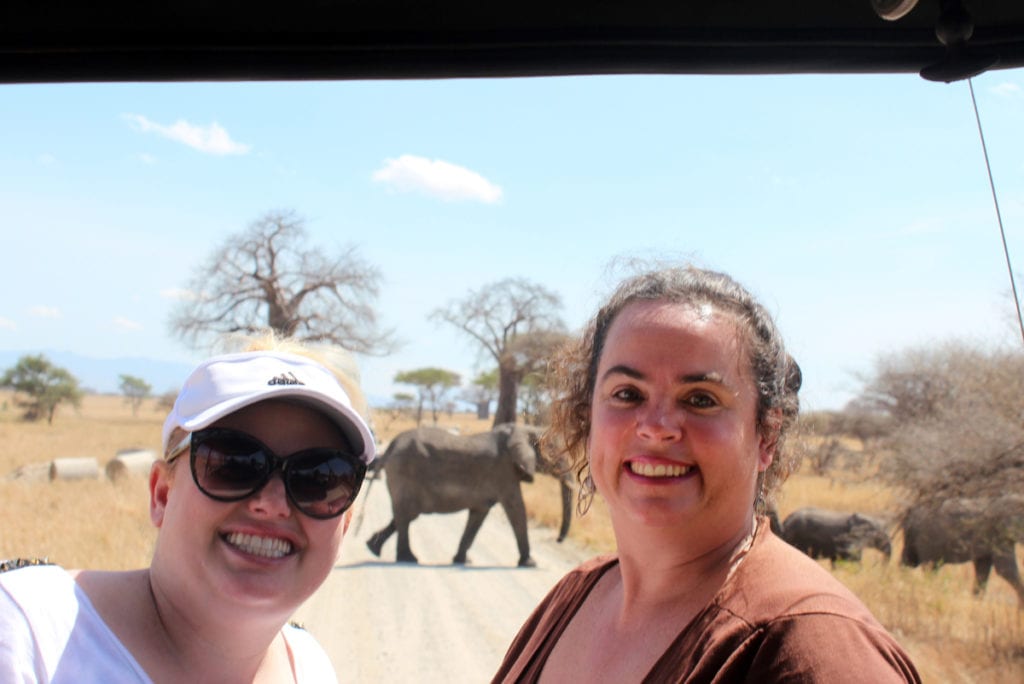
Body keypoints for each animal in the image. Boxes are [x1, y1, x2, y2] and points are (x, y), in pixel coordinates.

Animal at [366, 423, 577, 569]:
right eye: (555, 455)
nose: (558, 540)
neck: (525, 429)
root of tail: (391, 447)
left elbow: (478, 515)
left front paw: (462, 560)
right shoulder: (504, 473)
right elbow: (516, 509)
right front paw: (530, 563)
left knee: (405, 515)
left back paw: (373, 548)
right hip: (404, 471)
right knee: (406, 515)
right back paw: (408, 558)